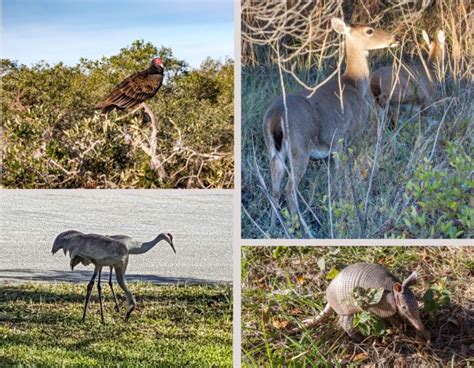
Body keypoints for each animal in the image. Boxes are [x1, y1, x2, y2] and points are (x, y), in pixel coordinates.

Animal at [264, 18, 398, 230]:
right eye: (369, 31)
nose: (394, 38)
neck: (355, 84)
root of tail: (276, 116)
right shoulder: (345, 138)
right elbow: (343, 176)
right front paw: (344, 204)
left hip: (274, 151)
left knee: (275, 188)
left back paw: (273, 227)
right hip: (299, 147)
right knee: (289, 189)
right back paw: (302, 228)